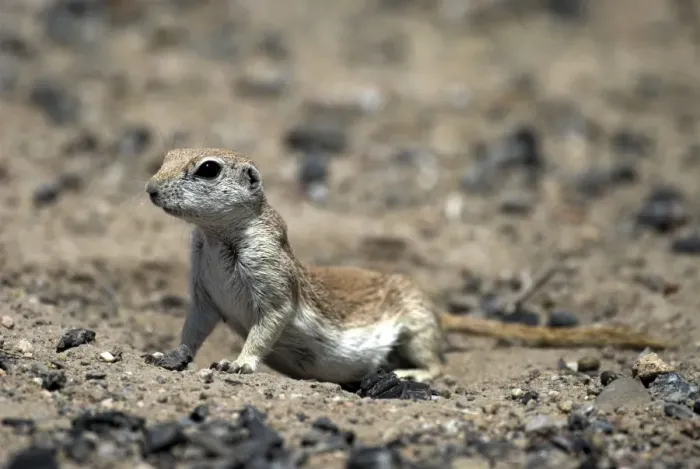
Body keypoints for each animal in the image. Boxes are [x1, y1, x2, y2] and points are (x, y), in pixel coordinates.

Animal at [144, 148, 668, 384]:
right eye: (165, 156)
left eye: (208, 168)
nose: (149, 189)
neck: (216, 237)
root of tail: (436, 308)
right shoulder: (202, 286)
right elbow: (195, 324)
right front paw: (169, 354)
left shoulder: (270, 272)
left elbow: (268, 321)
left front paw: (240, 361)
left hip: (416, 327)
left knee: (438, 363)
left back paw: (413, 375)